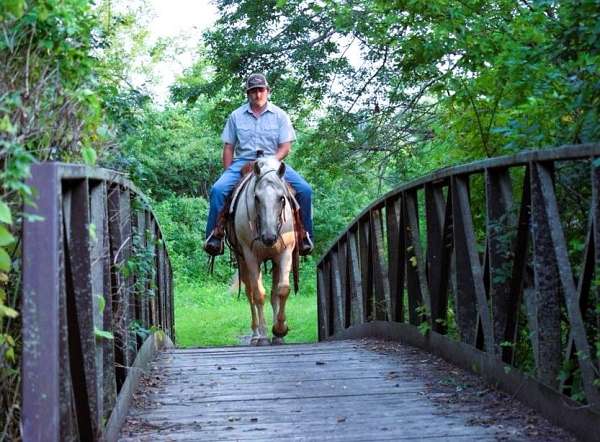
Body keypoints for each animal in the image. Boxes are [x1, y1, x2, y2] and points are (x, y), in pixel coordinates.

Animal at [226, 155, 298, 346]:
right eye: (257, 198)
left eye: (281, 198)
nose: (269, 237)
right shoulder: (251, 256)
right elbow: (259, 295)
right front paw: (264, 336)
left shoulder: (285, 253)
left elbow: (283, 289)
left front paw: (279, 330)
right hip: (243, 261)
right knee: (250, 293)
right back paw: (256, 335)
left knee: (274, 293)